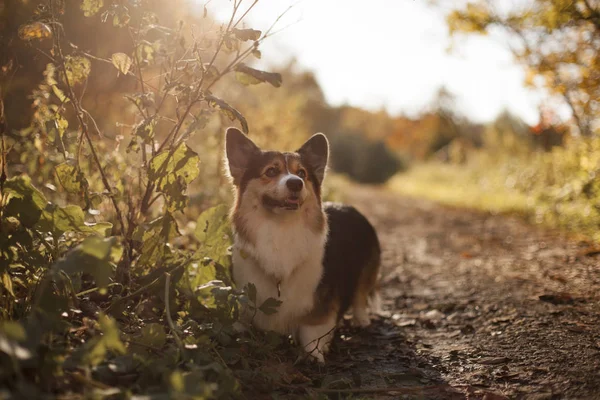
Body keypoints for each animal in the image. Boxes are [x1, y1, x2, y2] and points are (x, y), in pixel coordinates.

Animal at [225, 128, 380, 362]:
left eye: (302, 174)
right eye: (271, 171)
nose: (295, 183)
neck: (281, 229)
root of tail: (350, 206)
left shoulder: (318, 307)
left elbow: (311, 332)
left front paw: (313, 356)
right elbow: (242, 322)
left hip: (367, 268)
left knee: (360, 294)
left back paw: (361, 320)